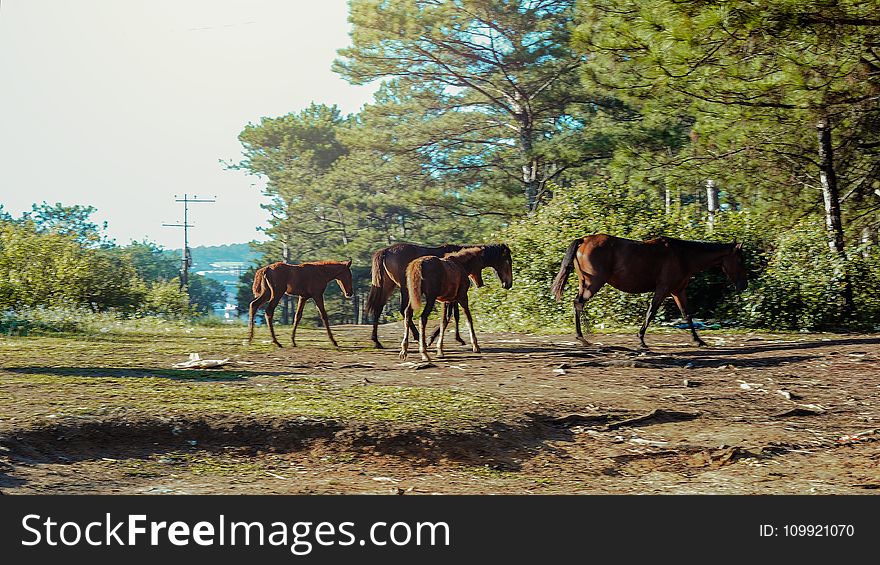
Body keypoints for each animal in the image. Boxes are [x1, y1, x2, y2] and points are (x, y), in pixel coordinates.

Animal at [552, 231, 748, 346]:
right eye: (740, 260)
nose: (744, 285)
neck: (683, 255)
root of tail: (584, 240)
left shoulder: (678, 291)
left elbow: (687, 315)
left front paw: (698, 340)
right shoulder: (663, 289)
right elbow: (651, 312)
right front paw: (641, 339)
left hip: (585, 283)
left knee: (577, 303)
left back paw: (582, 335)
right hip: (594, 283)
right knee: (578, 303)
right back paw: (583, 336)